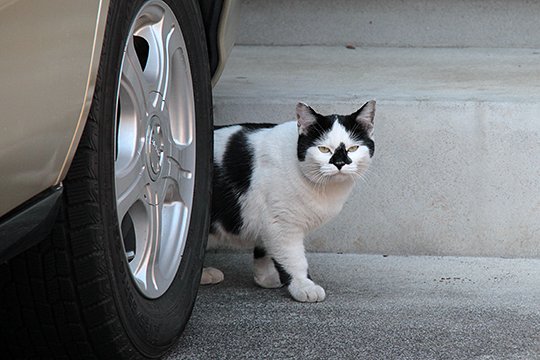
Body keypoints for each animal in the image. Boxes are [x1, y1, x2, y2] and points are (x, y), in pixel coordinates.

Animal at [202, 100, 376, 302]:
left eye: (353, 148)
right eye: (324, 149)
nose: (340, 163)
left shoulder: (269, 222)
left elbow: (265, 249)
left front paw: (266, 278)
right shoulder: (282, 224)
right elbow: (294, 259)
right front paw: (303, 286)